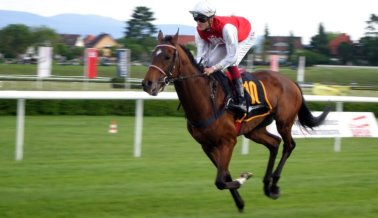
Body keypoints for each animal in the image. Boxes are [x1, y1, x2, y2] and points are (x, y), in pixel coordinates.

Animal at [140, 30, 330, 211]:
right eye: (153, 54)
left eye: (167, 56)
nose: (147, 84)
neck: (207, 99)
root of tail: (291, 82)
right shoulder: (207, 145)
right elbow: (224, 175)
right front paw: (240, 202)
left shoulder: (228, 141)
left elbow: (220, 180)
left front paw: (243, 178)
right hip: (255, 130)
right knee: (274, 143)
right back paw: (267, 185)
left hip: (284, 122)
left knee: (289, 145)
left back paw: (274, 185)